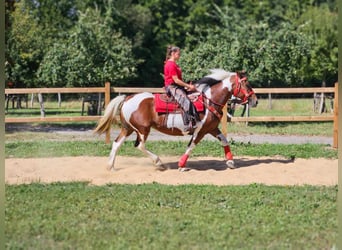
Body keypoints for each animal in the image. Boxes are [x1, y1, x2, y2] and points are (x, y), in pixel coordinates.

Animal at [93, 69, 256, 171]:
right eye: (246, 84)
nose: (255, 101)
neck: (209, 101)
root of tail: (127, 98)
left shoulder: (211, 128)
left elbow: (224, 140)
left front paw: (231, 162)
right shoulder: (200, 131)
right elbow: (191, 146)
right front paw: (181, 165)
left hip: (128, 128)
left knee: (116, 143)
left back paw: (110, 167)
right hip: (143, 129)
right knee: (139, 146)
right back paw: (158, 163)